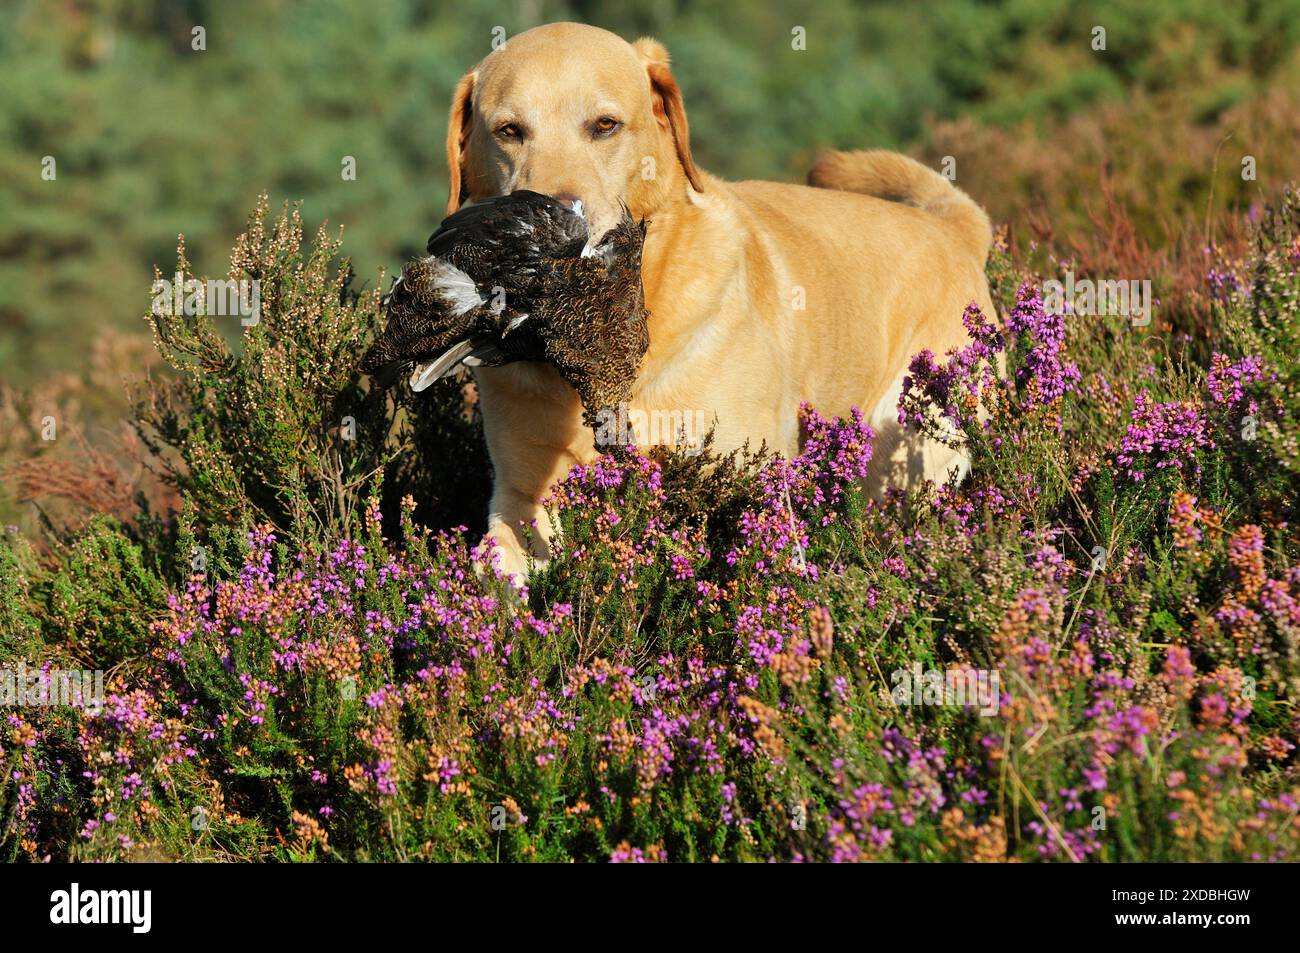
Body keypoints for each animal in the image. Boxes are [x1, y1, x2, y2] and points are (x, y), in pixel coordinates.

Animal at [441, 20, 987, 579]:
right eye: (509, 131)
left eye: (605, 125)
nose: (552, 226)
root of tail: (952, 228)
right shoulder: (521, 499)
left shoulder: (748, 477)